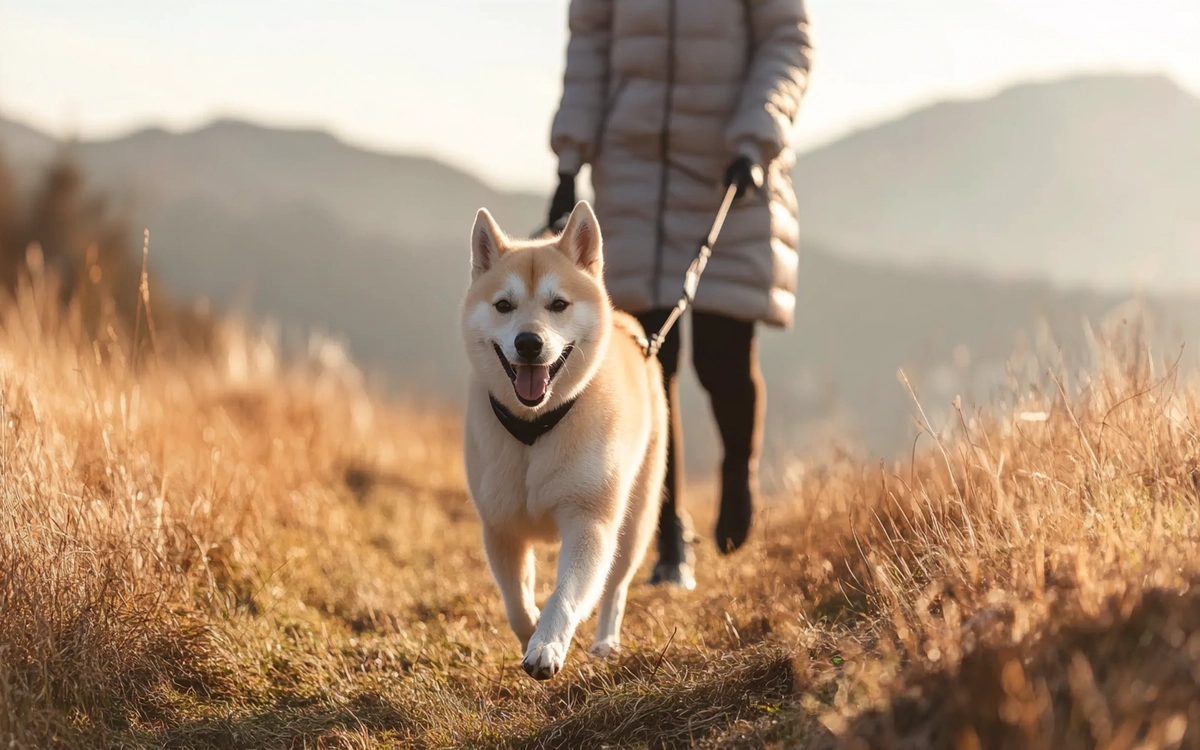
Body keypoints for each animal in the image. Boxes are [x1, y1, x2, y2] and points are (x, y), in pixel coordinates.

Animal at [458, 199, 672, 676]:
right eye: (503, 305)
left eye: (558, 304)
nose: (529, 342)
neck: (535, 428)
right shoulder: (500, 527)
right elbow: (516, 602)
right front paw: (530, 633)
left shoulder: (589, 519)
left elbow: (567, 595)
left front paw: (547, 645)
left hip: (636, 519)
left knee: (616, 586)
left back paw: (606, 641)